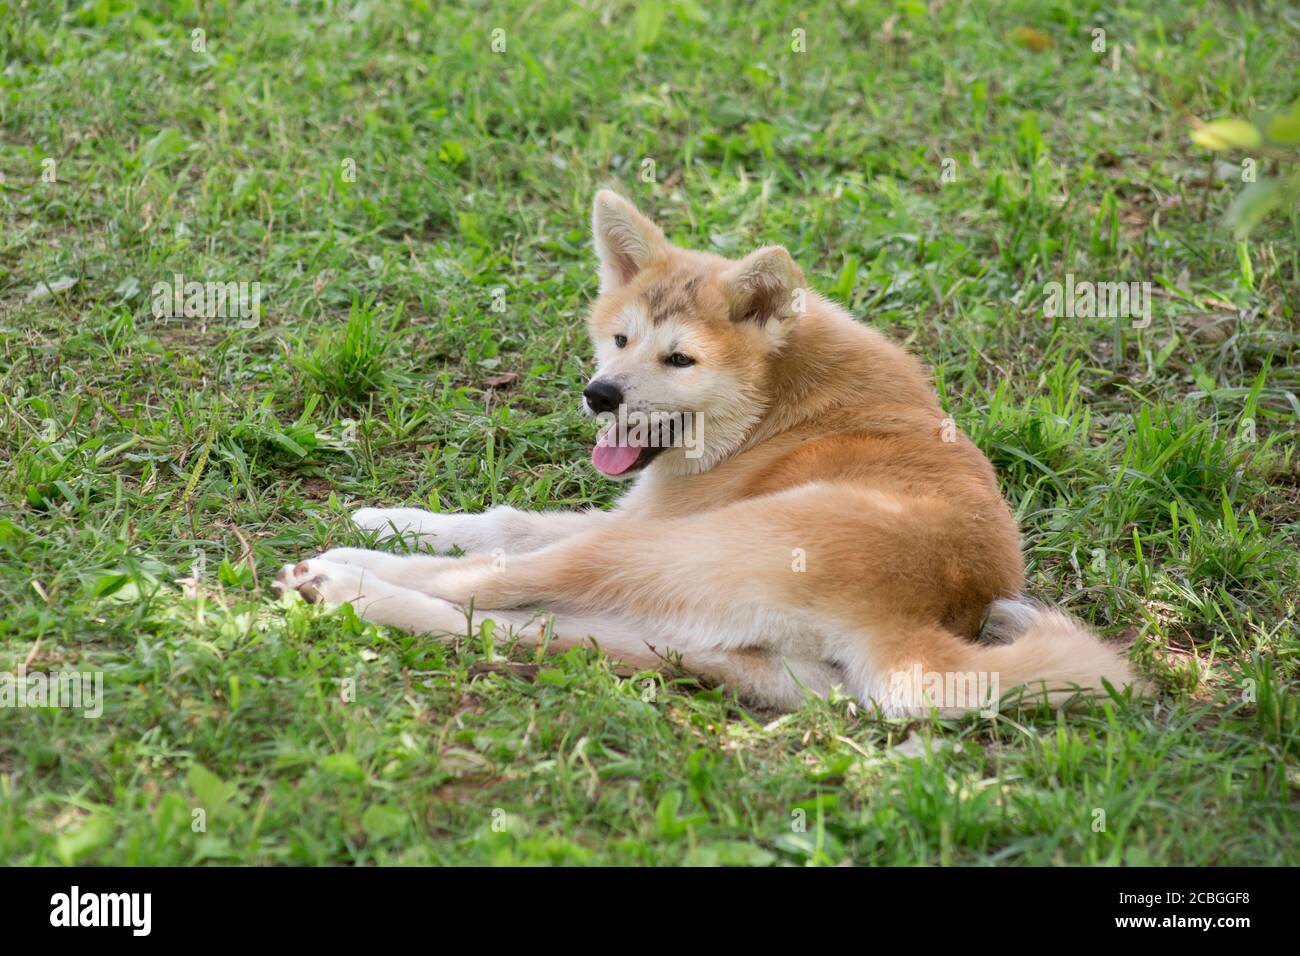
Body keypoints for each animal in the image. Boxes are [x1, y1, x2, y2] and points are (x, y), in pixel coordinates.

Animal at [274, 191, 1138, 712]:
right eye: (621, 339)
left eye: (680, 359)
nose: (601, 394)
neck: (780, 404)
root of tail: (913, 620)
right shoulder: (633, 513)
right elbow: (503, 519)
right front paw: (393, 516)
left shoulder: (641, 520)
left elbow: (499, 540)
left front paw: (376, 538)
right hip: (682, 633)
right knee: (507, 622)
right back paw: (357, 594)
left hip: (657, 553)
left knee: (485, 587)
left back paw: (343, 577)